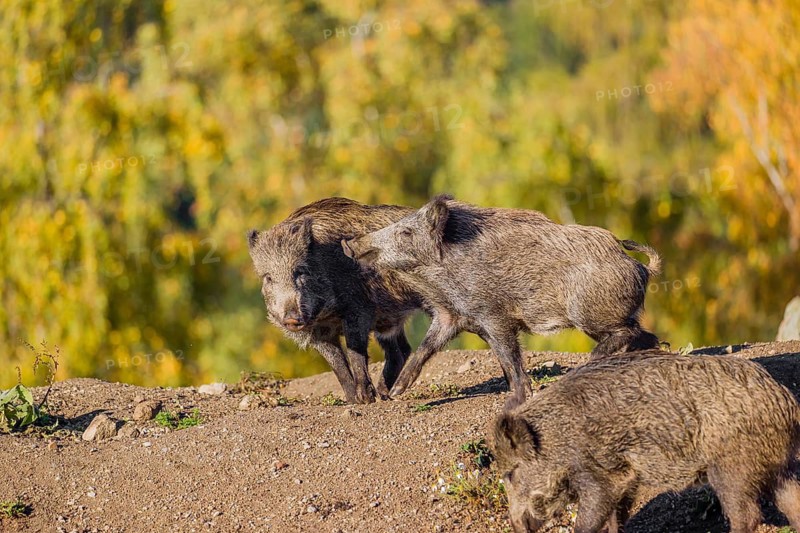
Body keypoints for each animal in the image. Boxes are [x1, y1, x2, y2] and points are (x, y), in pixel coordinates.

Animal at [247, 197, 421, 404]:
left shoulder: (358, 310)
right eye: (268, 278)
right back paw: (385, 395)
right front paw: (352, 400)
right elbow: (338, 366)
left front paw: (365, 399)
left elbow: (355, 353)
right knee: (401, 351)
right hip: (388, 320)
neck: (326, 314)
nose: (291, 318)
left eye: (300, 271)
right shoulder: (319, 334)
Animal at [342, 194, 661, 402]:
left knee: (627, 332)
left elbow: (509, 355)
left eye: (406, 232)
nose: (349, 243)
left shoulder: (494, 316)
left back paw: (591, 362)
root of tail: (641, 267)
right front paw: (396, 393)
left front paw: (520, 396)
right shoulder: (450, 316)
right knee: (645, 335)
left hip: (590, 315)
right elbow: (426, 348)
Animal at [492, 353, 800, 533]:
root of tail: (785, 401)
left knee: (747, 515)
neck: (556, 438)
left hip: (730, 467)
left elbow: (589, 520)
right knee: (792, 503)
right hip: (777, 467)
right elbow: (613, 520)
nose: (516, 525)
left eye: (511, 474)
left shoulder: (599, 476)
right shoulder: (625, 480)